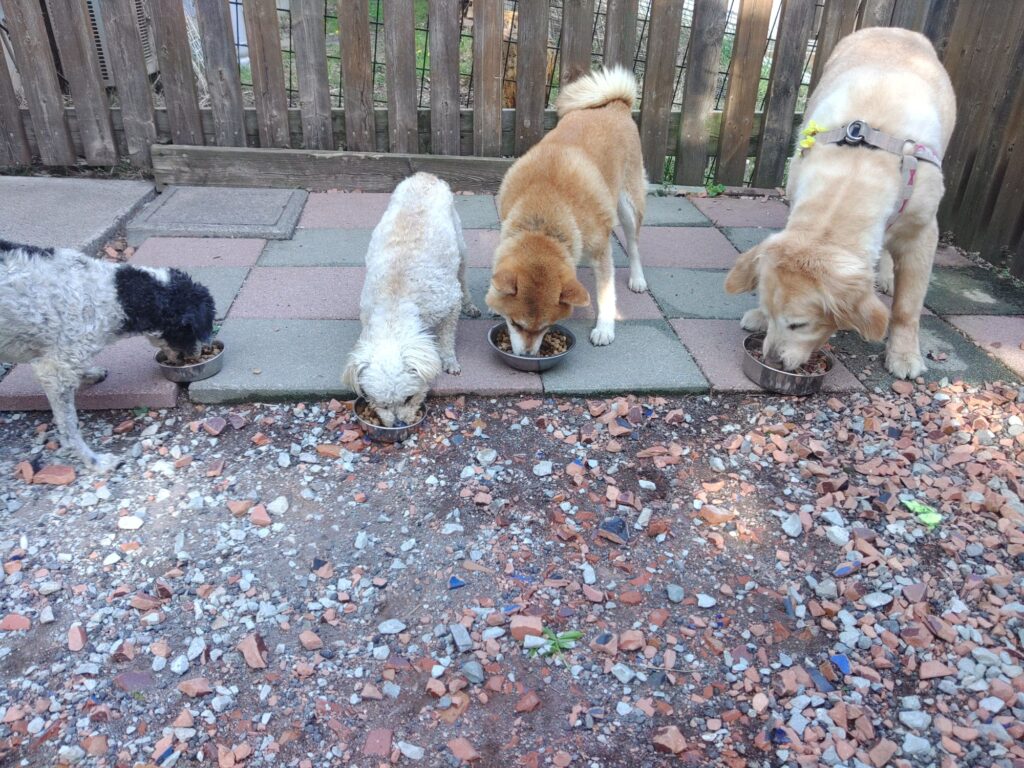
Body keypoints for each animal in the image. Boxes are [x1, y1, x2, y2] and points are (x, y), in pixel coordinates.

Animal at [0, 240, 215, 471]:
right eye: (195, 328)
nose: (198, 353)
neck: (114, 295)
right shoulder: (55, 370)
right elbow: (70, 428)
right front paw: (94, 461)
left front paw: (89, 373)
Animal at [342, 174, 480, 427]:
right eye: (381, 403)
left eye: (409, 398)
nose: (399, 424)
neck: (394, 305)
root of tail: (424, 176)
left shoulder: (450, 302)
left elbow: (447, 338)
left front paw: (449, 361)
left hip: (461, 246)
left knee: (463, 275)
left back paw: (471, 305)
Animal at [486, 66, 647, 354]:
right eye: (514, 323)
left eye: (546, 327)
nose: (527, 355)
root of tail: (618, 104)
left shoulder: (601, 249)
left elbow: (606, 294)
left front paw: (604, 328)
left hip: (629, 205)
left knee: (633, 243)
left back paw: (637, 278)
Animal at [724, 28, 955, 378]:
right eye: (770, 311)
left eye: (799, 324)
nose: (772, 361)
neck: (857, 168)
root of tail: (896, 29)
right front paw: (759, 318)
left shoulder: (923, 231)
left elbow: (907, 307)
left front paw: (903, 355)